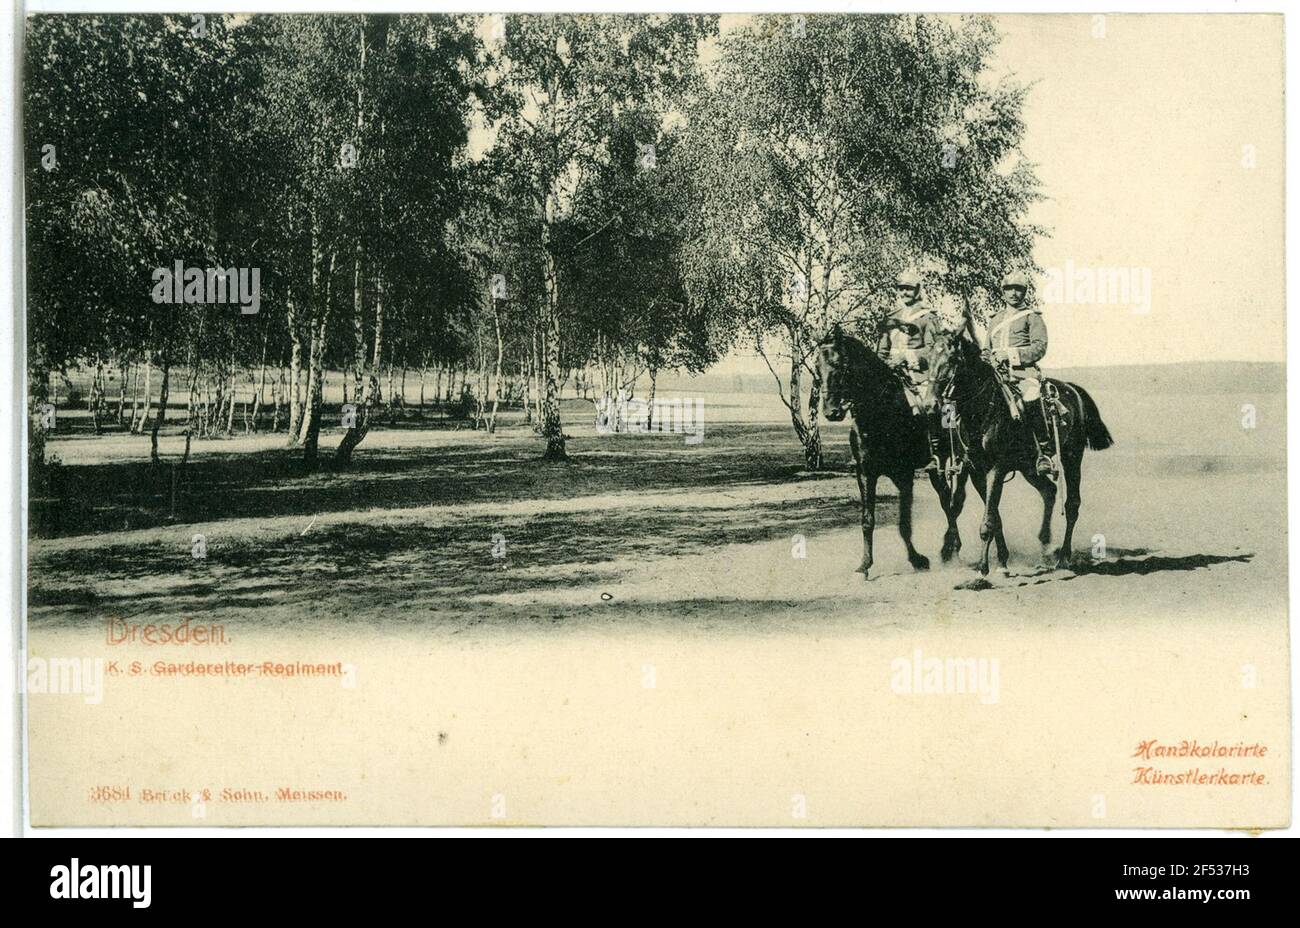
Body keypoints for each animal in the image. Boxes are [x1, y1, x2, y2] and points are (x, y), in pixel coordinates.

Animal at [816, 322, 972, 574]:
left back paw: (951, 547)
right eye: (817, 368)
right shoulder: (865, 473)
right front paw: (864, 565)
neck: (880, 414)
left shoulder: (904, 475)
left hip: (960, 460)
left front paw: (917, 560)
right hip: (936, 468)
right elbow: (867, 520)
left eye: (840, 365)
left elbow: (904, 524)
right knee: (946, 498)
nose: (831, 411)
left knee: (955, 501)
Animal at [925, 324, 1118, 571]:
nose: (930, 404)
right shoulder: (977, 471)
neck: (982, 412)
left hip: (1072, 457)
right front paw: (1002, 561)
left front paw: (983, 569)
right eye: (929, 359)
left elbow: (988, 520)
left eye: (951, 359)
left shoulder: (995, 470)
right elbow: (994, 516)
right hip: (1029, 467)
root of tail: (1072, 389)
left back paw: (1063, 557)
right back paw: (1045, 546)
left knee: (1072, 504)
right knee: (1049, 491)